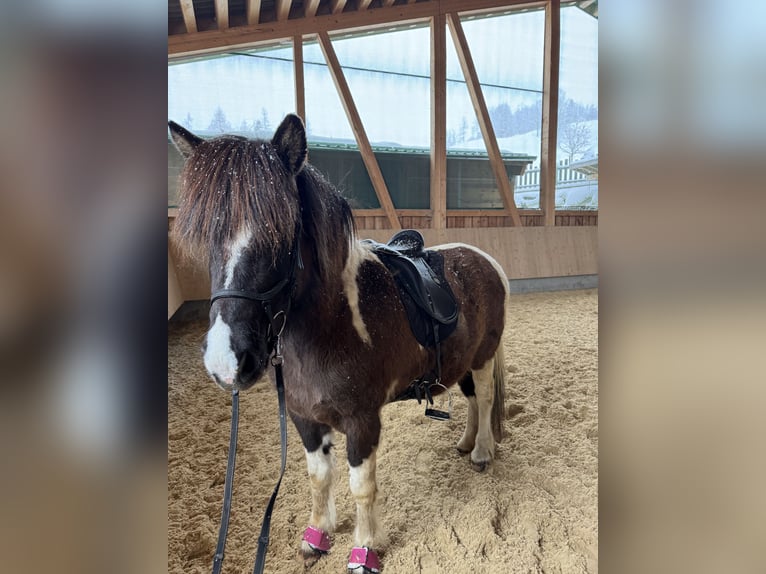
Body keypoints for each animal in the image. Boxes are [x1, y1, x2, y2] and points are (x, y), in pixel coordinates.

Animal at [169, 114, 509, 572]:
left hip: (484, 357)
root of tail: (483, 258)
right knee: (473, 400)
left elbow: (361, 486)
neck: (332, 326)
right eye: (208, 237)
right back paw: (468, 442)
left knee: (486, 398)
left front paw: (364, 549)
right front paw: (318, 534)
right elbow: (319, 476)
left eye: (282, 235)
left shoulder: (362, 421)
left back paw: (482, 452)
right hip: (464, 360)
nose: (227, 361)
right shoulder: (304, 418)